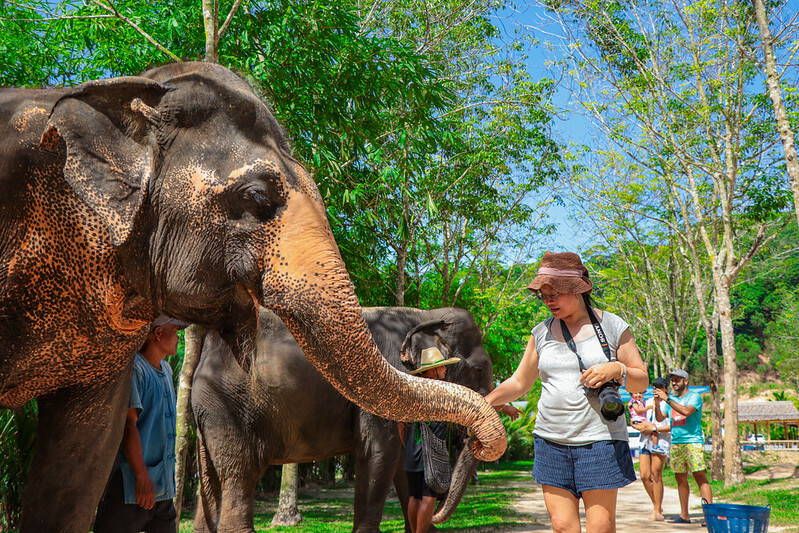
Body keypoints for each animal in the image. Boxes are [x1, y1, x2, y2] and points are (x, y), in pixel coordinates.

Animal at [192, 307, 493, 533]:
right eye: (478, 370)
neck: (423, 315)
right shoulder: (378, 386)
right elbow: (380, 453)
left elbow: (402, 463)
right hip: (230, 406)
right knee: (240, 474)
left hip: (209, 410)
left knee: (210, 479)